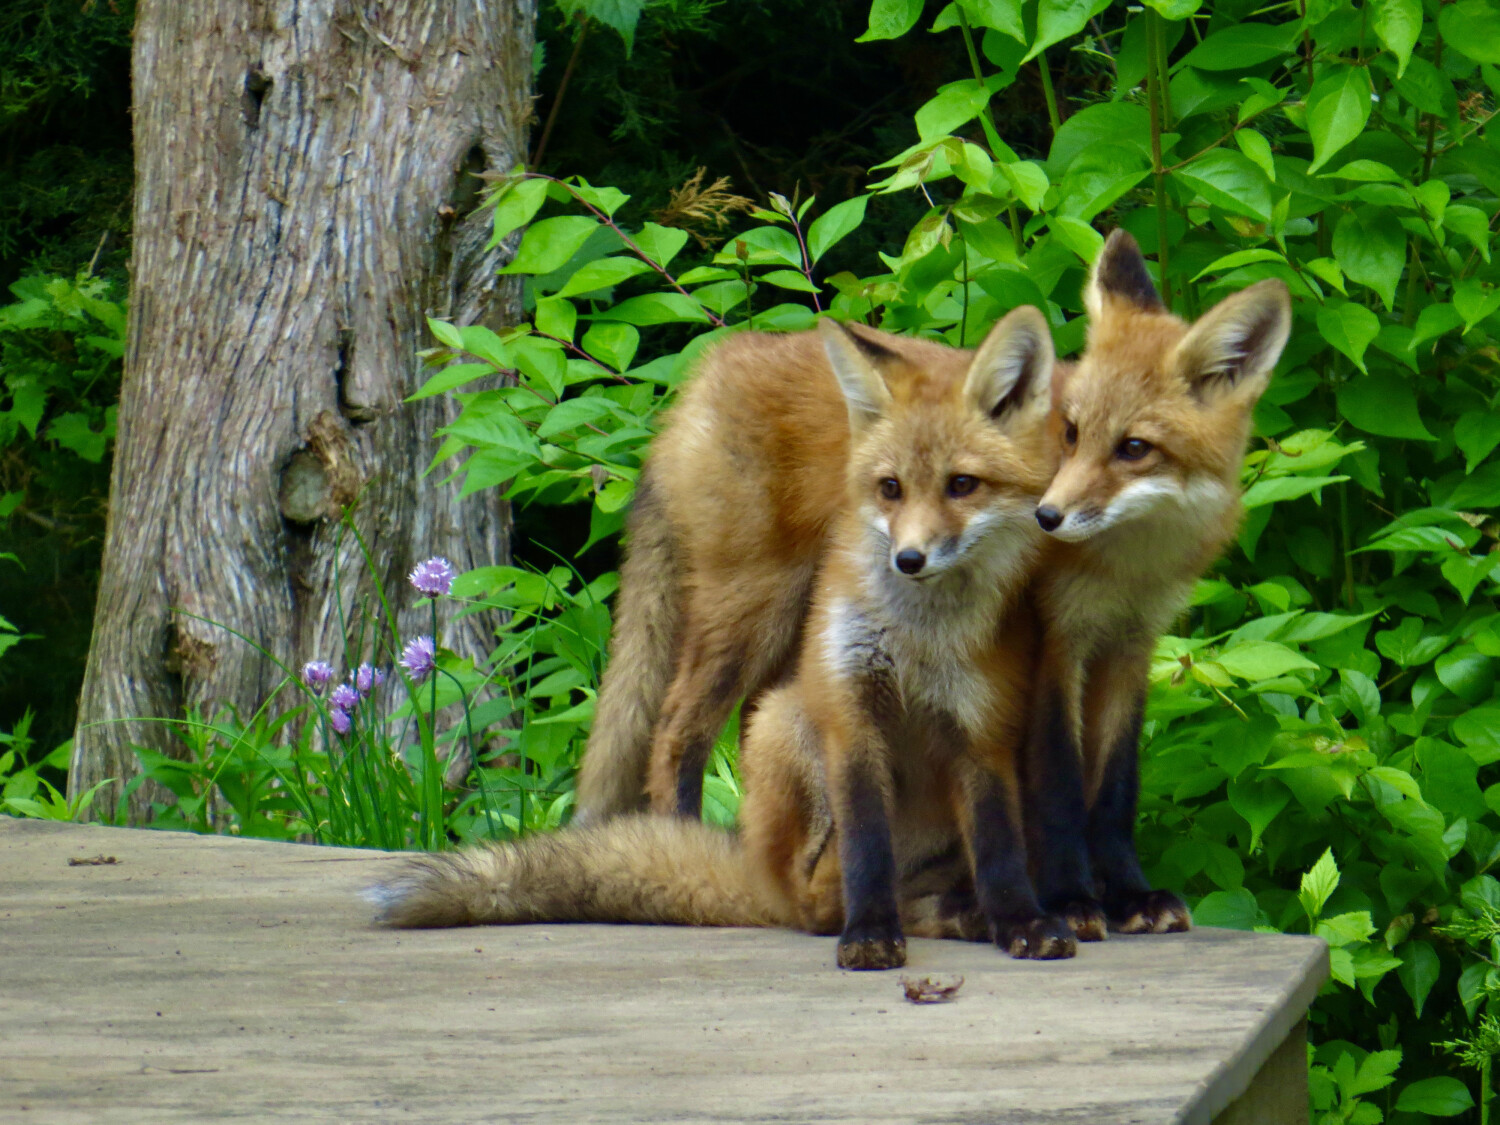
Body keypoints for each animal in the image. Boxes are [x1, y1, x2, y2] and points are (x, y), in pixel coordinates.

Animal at [371, 308, 1070, 967]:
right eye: (894, 487)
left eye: (963, 485)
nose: (909, 560)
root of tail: (709, 368)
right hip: (755, 608)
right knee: (678, 734)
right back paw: (686, 844)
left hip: (792, 637)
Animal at [1020, 230, 1291, 938]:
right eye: (1070, 433)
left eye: (1134, 448)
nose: (1045, 518)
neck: (1125, 571)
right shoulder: (1055, 640)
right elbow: (1060, 786)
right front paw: (1069, 897)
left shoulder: (1131, 645)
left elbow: (1114, 787)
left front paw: (1128, 894)